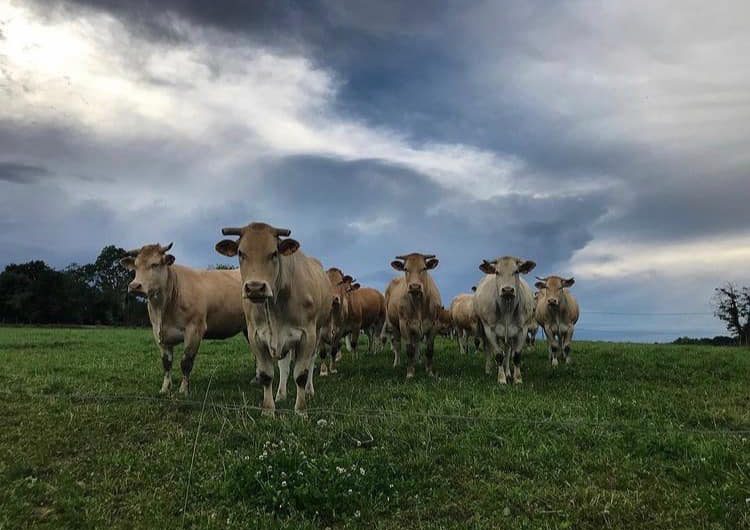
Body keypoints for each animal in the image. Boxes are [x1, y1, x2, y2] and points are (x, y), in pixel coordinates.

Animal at [119, 243, 245, 395]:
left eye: (155, 264)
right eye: (136, 266)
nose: (134, 286)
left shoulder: (195, 329)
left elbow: (186, 362)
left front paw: (183, 390)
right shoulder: (158, 333)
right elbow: (166, 363)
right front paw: (164, 388)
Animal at [214, 222, 332, 415]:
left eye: (274, 253)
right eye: (241, 253)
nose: (255, 288)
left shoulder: (307, 335)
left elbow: (301, 374)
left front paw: (301, 410)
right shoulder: (256, 336)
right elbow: (266, 375)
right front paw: (268, 409)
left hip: (318, 330)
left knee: (311, 361)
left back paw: (309, 390)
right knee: (284, 365)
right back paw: (281, 394)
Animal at [473, 256, 536, 384]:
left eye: (516, 271)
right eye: (497, 272)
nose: (507, 290)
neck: (507, 309)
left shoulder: (522, 330)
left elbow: (516, 355)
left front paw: (517, 379)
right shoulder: (490, 330)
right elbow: (498, 355)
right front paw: (501, 379)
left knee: (507, 351)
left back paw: (508, 372)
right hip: (483, 328)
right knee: (488, 348)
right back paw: (489, 369)